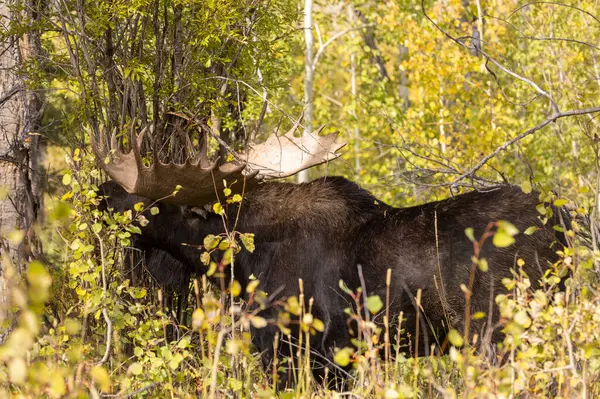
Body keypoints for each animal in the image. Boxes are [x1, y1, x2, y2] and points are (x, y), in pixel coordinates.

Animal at [94, 126, 568, 388]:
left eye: (152, 201)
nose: (101, 192)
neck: (245, 264)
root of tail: (565, 227)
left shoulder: (302, 351)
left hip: (500, 333)